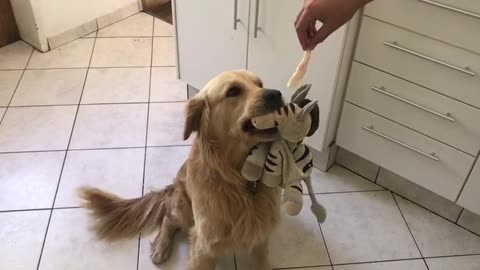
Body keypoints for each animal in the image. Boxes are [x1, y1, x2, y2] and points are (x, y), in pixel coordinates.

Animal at [80, 70, 286, 270]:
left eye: (259, 83)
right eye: (233, 91)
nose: (276, 94)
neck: (238, 178)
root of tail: (171, 187)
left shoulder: (261, 238)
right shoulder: (204, 245)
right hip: (184, 210)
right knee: (168, 218)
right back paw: (161, 247)